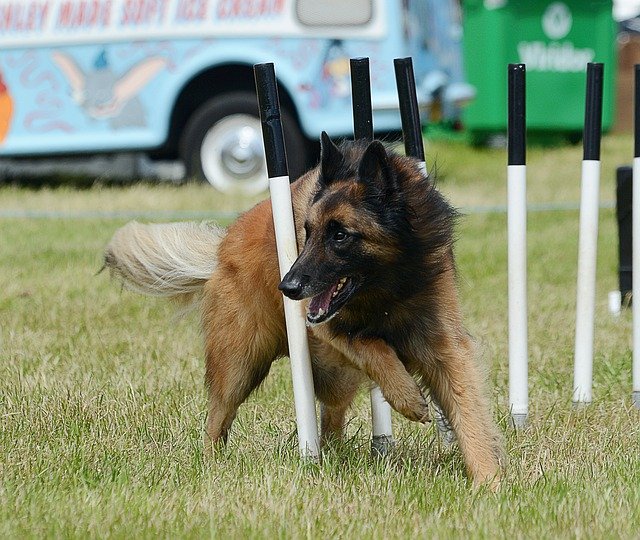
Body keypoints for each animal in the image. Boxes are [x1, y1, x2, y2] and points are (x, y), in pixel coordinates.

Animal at [105, 134, 504, 486]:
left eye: (340, 235)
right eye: (307, 232)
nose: (288, 288)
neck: (387, 285)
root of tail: (223, 247)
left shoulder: (444, 344)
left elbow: (468, 411)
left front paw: (488, 482)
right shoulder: (325, 325)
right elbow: (370, 344)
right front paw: (406, 397)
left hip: (334, 376)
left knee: (330, 421)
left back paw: (334, 455)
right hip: (240, 364)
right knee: (217, 418)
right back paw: (212, 465)